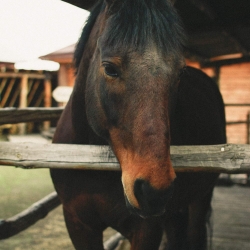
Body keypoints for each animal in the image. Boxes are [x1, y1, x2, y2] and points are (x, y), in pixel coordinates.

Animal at [49, 0, 226, 249]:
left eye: (180, 73)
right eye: (110, 68)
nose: (154, 191)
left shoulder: (146, 229)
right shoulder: (78, 224)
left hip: (200, 198)